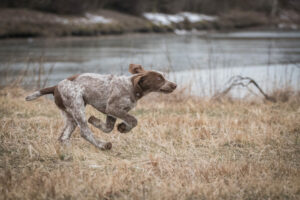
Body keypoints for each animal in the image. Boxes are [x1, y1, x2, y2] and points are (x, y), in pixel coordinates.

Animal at [25, 64, 177, 150]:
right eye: (159, 79)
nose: (175, 85)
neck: (132, 88)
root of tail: (56, 86)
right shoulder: (113, 108)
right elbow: (133, 120)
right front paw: (124, 127)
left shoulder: (112, 113)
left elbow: (108, 128)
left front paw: (100, 122)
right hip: (77, 106)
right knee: (84, 132)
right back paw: (102, 145)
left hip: (70, 115)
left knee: (63, 136)